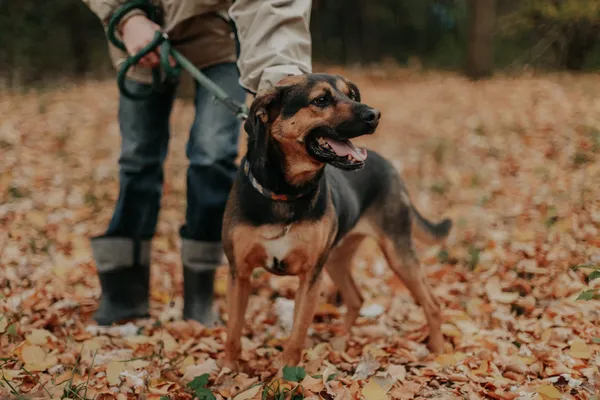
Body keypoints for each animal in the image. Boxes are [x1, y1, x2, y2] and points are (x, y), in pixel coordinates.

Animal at [220, 72, 450, 368]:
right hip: (336, 259)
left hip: (397, 253)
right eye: (320, 100)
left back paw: (439, 350)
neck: (286, 193)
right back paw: (341, 342)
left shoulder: (310, 276)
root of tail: (391, 167)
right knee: (356, 298)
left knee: (432, 304)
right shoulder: (239, 272)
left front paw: (286, 370)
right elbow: (233, 331)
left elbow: (298, 331)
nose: (375, 115)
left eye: (351, 95)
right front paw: (228, 369)